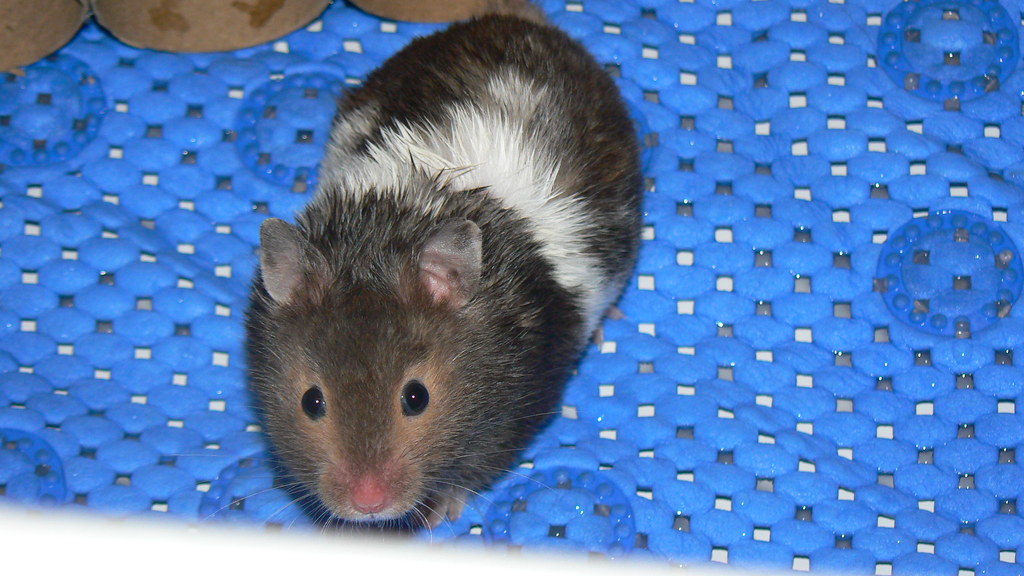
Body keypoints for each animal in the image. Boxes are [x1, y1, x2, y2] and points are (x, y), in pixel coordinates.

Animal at [246, 4, 642, 529]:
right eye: (312, 401)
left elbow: (474, 468)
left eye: (416, 397)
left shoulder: (515, 411)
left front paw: (441, 512)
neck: (381, 232)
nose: (368, 504)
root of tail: (514, 20)